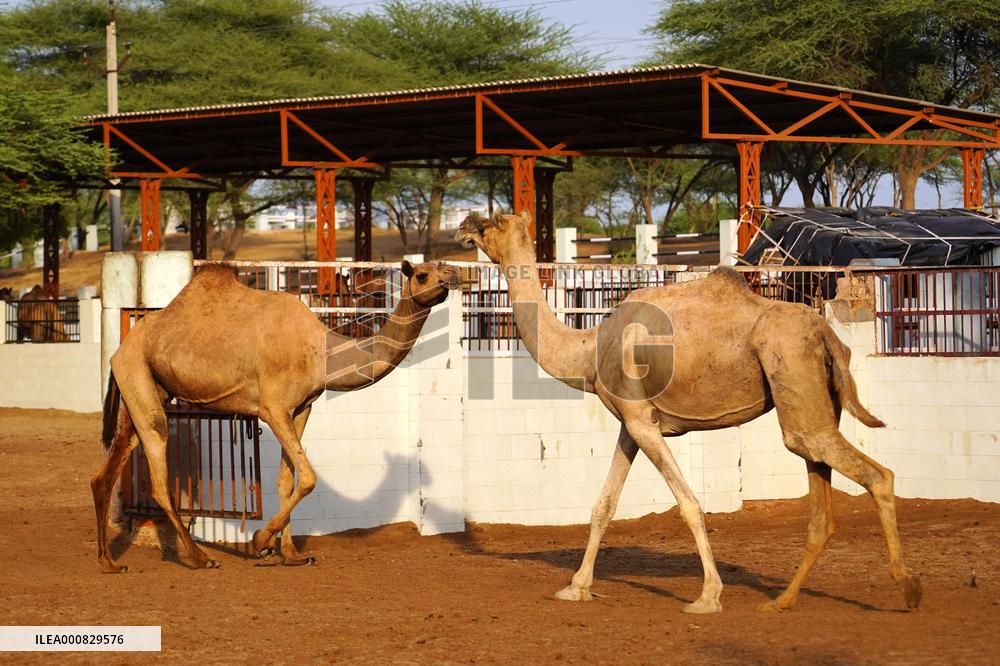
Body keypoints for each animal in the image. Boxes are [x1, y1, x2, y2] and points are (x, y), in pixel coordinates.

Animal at [91, 260, 460, 573]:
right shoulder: (273, 408)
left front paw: (292, 554)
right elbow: (308, 477)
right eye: (422, 274)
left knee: (106, 471)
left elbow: (287, 480)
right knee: (159, 475)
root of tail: (118, 350)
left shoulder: (301, 409)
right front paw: (259, 542)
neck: (321, 352)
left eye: (443, 267)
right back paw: (200, 558)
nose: (453, 277)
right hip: (139, 377)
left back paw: (109, 562)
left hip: (141, 393)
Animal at [456, 210, 921, 613]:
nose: (463, 226)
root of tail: (828, 333)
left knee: (874, 474)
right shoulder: (631, 425)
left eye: (490, 222)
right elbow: (604, 504)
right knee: (821, 491)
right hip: (815, 400)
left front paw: (708, 596)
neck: (588, 351)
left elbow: (690, 505)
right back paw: (782, 600)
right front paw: (575, 587)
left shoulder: (641, 423)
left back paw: (908, 588)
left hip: (794, 379)